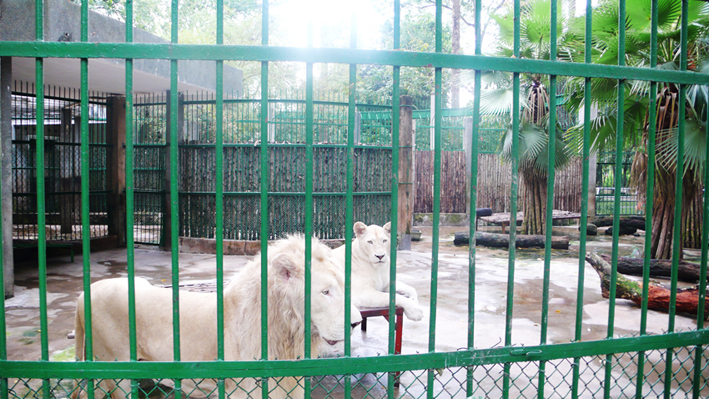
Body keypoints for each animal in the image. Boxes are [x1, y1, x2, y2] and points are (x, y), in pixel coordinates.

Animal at [73, 236, 360, 398]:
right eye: (325, 292)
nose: (356, 323)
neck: (287, 334)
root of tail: (85, 293)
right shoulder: (243, 389)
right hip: (114, 371)